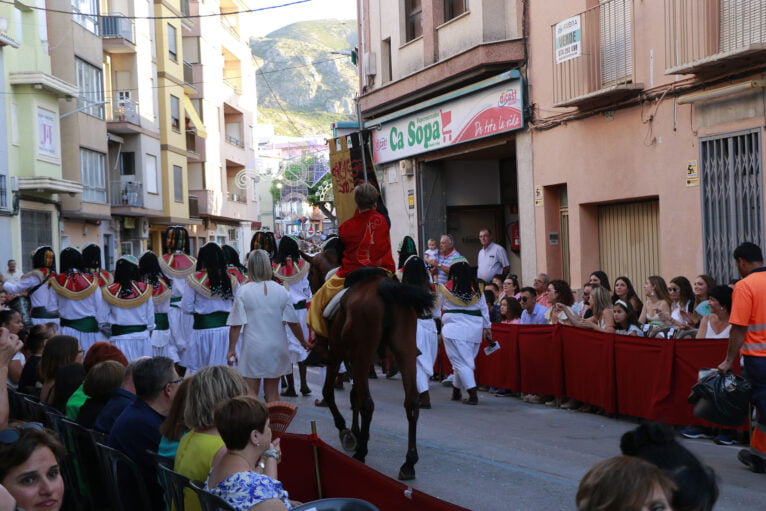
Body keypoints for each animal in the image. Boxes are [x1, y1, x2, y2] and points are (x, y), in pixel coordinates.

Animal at [302, 238, 436, 482]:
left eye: (309, 275)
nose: (310, 290)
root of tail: (384, 289)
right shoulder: (354, 360)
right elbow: (354, 395)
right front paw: (357, 432)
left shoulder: (338, 356)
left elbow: (331, 392)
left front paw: (347, 432)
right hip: (404, 352)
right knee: (411, 402)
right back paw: (408, 462)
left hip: (363, 355)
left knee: (368, 403)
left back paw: (361, 454)